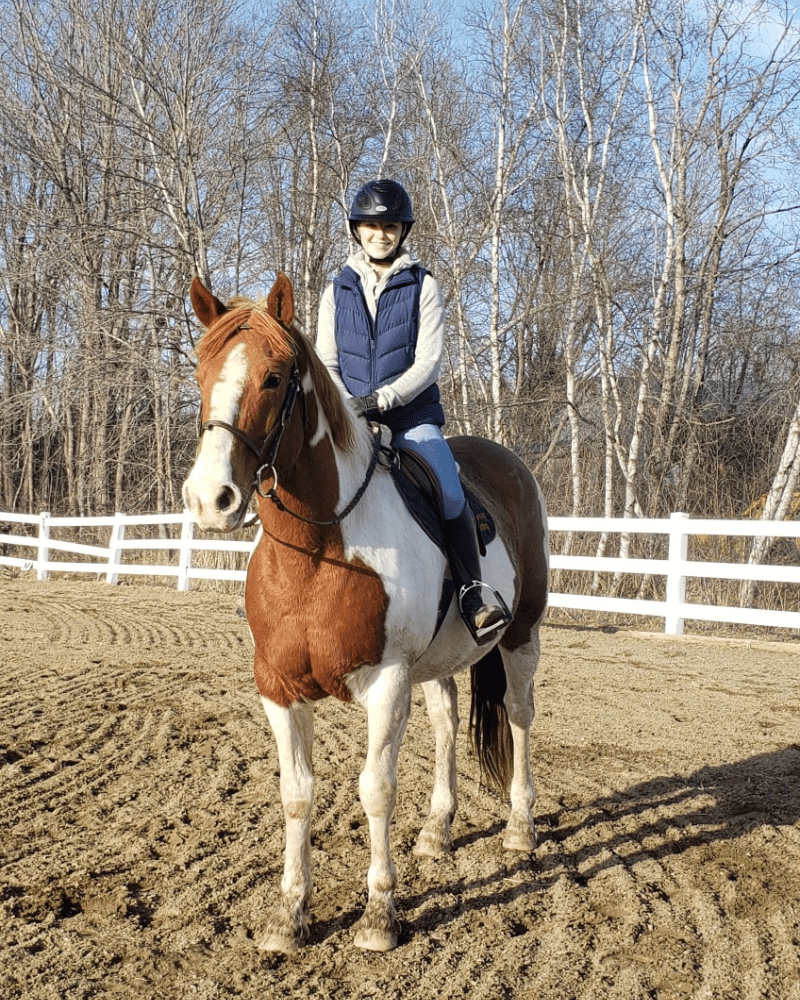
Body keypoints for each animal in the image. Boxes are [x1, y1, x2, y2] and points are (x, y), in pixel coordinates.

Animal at [181, 273, 549, 953]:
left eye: (274, 377)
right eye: (200, 372)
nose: (210, 499)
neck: (319, 552)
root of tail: (509, 464)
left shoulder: (386, 682)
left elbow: (375, 790)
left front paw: (380, 914)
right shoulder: (278, 688)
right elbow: (296, 794)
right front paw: (289, 915)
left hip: (522, 637)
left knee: (518, 716)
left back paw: (519, 826)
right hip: (437, 664)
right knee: (446, 724)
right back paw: (436, 832)